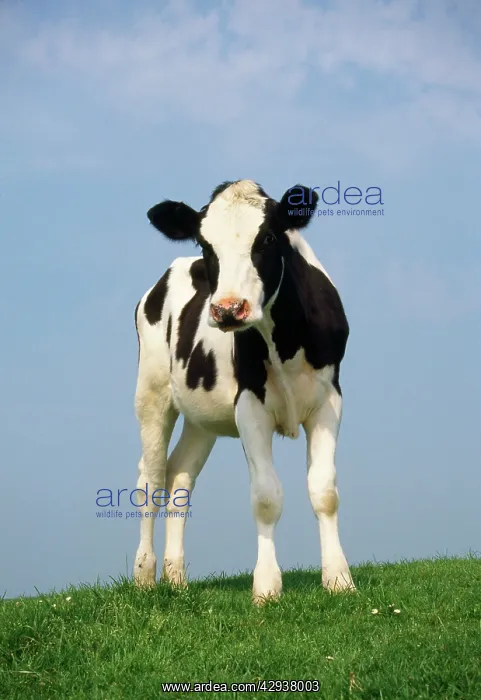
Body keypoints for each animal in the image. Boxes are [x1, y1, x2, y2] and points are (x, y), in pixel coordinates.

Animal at [133, 179, 355, 604]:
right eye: (205, 243)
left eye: (267, 237)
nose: (228, 309)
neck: (284, 340)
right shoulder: (250, 405)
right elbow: (266, 497)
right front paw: (267, 586)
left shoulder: (329, 400)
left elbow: (325, 491)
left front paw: (338, 578)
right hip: (151, 392)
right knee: (150, 479)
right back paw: (144, 575)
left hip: (201, 419)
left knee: (179, 476)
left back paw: (176, 577)